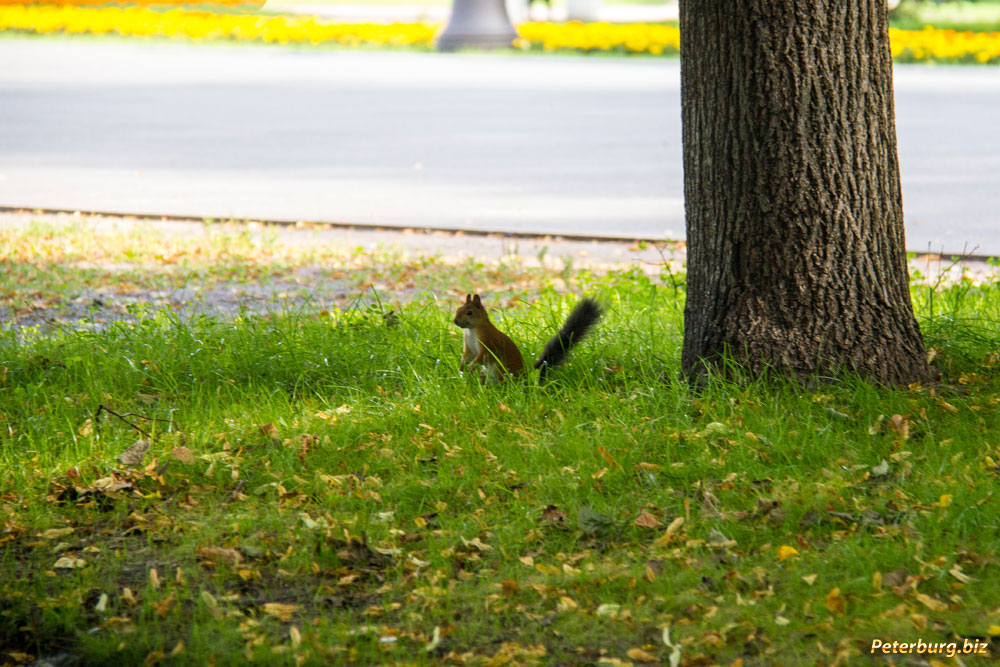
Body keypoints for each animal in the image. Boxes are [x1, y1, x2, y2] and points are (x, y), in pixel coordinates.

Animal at [454, 294, 600, 380]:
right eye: (458, 309)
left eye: (469, 312)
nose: (455, 321)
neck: (472, 330)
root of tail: (523, 377)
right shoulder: (469, 346)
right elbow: (468, 356)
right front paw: (461, 369)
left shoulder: (488, 342)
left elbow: (482, 356)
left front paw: (471, 368)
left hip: (500, 371)